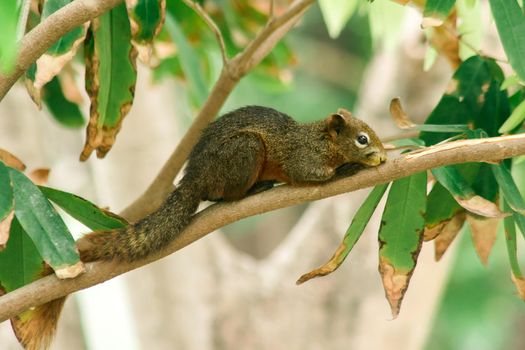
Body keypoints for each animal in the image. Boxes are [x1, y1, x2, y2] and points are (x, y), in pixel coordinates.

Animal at [12, 105, 384, 348]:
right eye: (362, 139)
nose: (380, 153)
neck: (321, 140)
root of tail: (193, 179)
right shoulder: (303, 159)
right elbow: (313, 175)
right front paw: (352, 167)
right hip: (244, 151)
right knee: (220, 195)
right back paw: (252, 190)